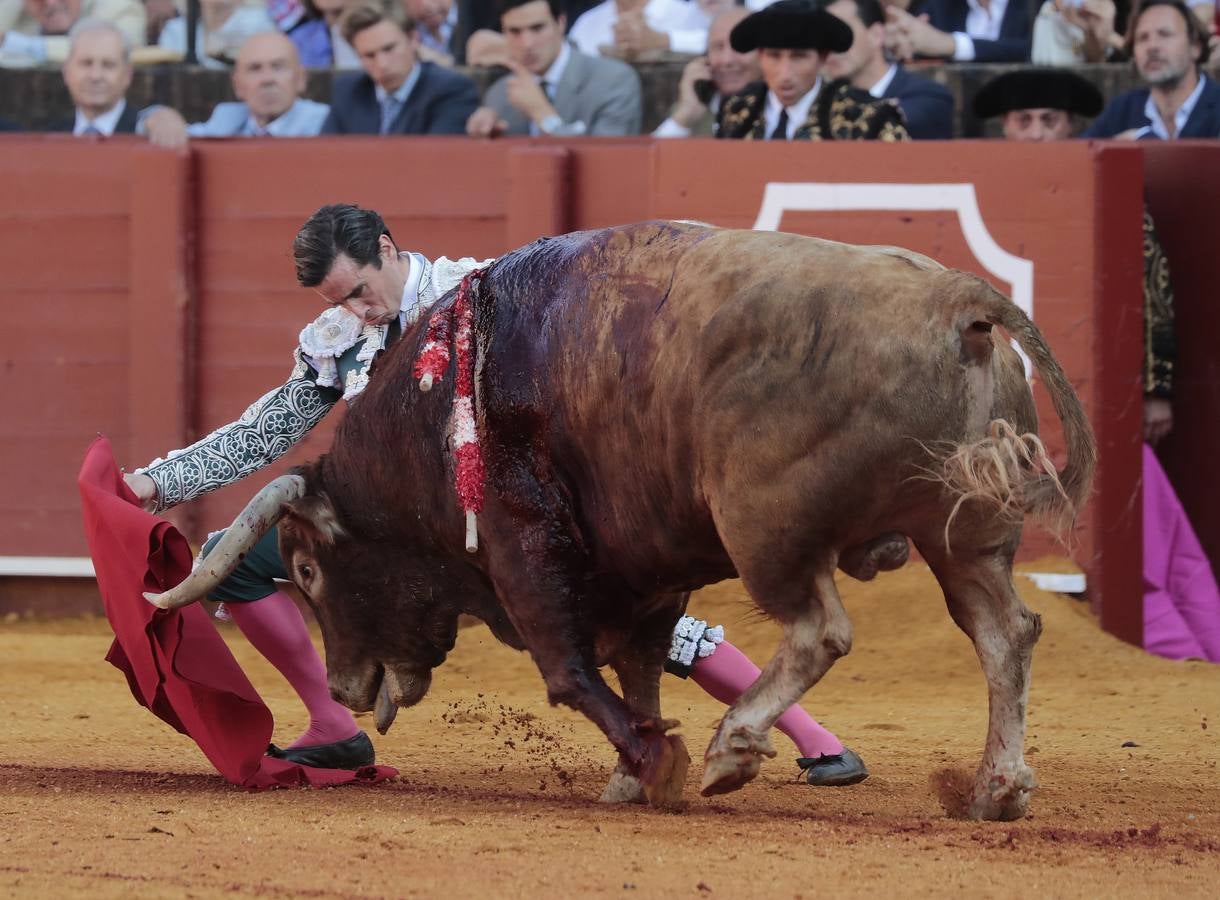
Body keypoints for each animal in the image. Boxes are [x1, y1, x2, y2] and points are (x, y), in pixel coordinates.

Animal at [150, 220, 1098, 814]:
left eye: (310, 569)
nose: (345, 686)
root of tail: (958, 302)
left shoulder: (523, 549)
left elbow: (571, 673)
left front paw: (657, 763)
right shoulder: (648, 570)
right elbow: (639, 664)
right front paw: (631, 773)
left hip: (770, 532)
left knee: (820, 629)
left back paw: (732, 748)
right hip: (962, 534)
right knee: (1005, 633)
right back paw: (996, 789)